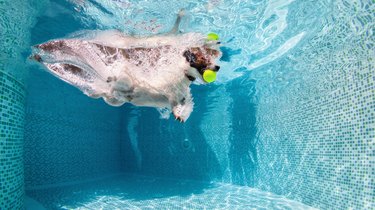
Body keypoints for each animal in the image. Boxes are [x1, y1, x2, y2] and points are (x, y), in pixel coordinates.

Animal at [31, 10, 223, 122]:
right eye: (203, 58)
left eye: (213, 59)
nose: (218, 67)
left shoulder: (180, 95)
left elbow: (183, 102)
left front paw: (180, 113)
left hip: (110, 98)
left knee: (102, 93)